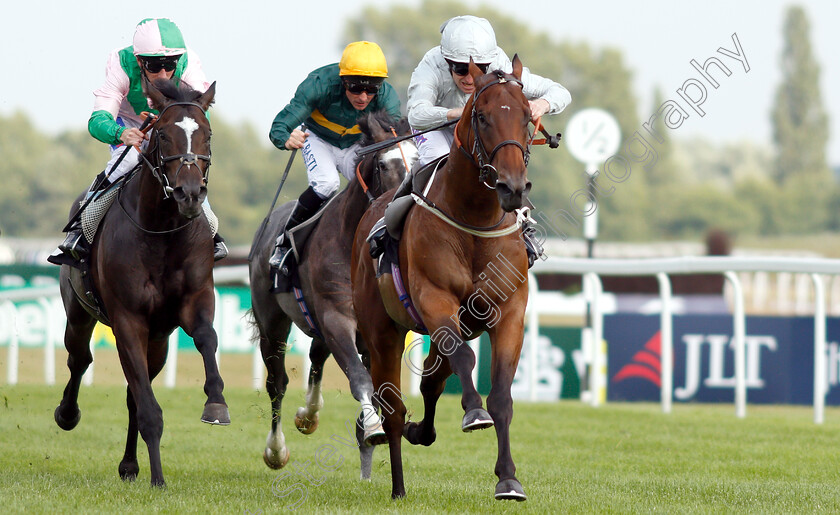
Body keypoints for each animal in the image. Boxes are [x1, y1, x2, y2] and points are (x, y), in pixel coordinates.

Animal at [54, 79, 228, 488]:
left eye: (208, 134)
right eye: (162, 134)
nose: (189, 193)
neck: (162, 231)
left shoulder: (195, 300)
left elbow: (206, 337)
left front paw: (216, 403)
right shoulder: (128, 320)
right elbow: (149, 408)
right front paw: (159, 479)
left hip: (159, 340)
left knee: (134, 392)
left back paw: (130, 464)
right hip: (79, 312)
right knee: (79, 358)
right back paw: (67, 414)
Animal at [249, 111, 420, 478]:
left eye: (417, 161)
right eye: (383, 165)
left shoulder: (373, 332)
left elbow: (377, 387)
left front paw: (368, 456)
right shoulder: (336, 317)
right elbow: (359, 379)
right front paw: (373, 429)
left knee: (316, 357)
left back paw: (309, 415)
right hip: (272, 323)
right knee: (277, 383)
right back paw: (276, 450)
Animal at [352, 58, 536, 502]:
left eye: (526, 116)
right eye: (482, 116)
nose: (512, 187)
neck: (474, 220)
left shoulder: (509, 312)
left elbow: (501, 396)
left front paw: (508, 479)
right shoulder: (435, 300)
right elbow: (465, 361)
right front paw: (473, 412)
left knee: (432, 381)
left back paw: (422, 430)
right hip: (382, 331)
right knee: (394, 408)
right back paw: (398, 486)